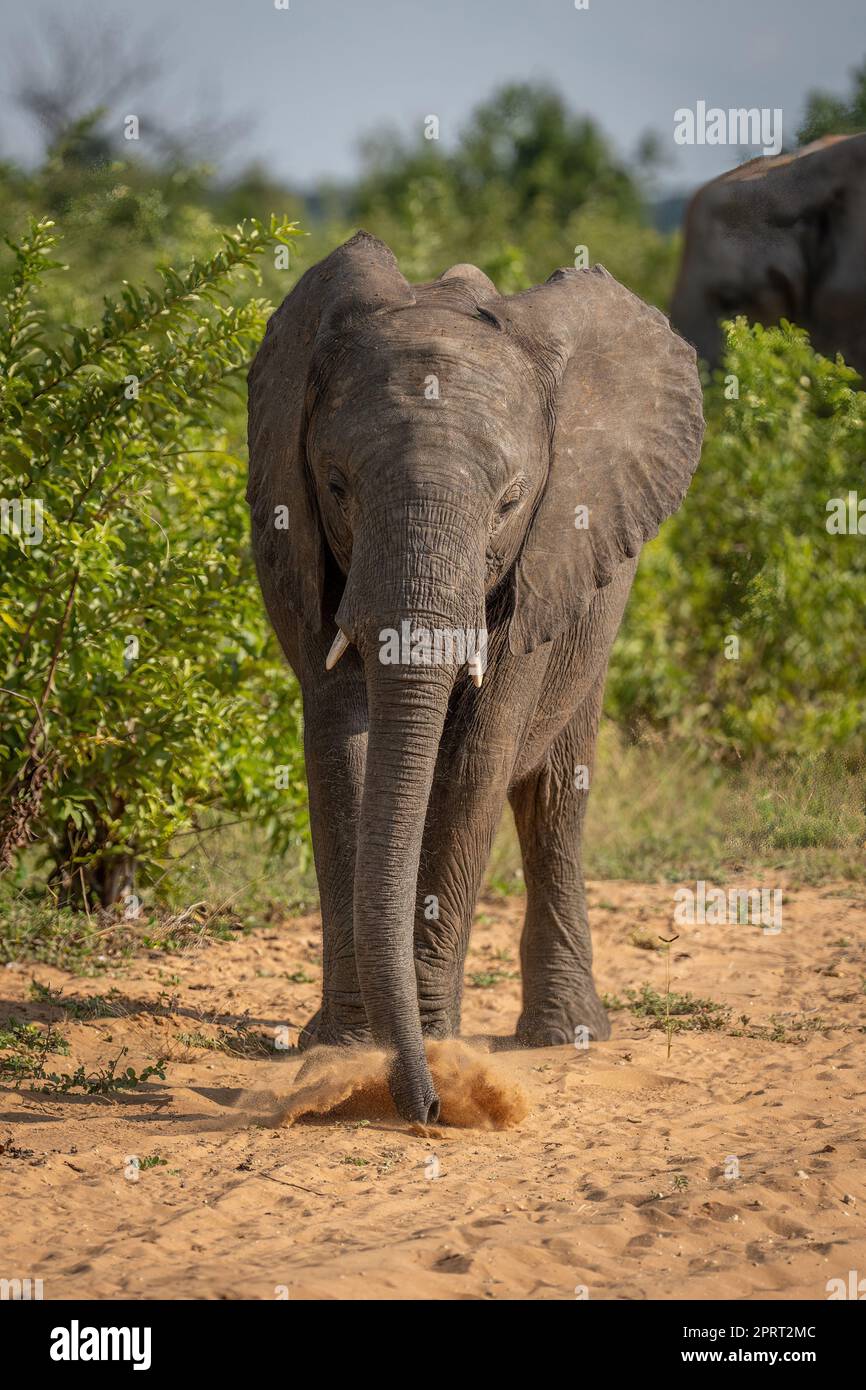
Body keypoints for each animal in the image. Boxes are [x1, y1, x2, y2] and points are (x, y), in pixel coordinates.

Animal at [247, 232, 704, 1123]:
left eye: (510, 504)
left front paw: (428, 1040)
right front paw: (346, 1046)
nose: (427, 1109)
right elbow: (341, 753)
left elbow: (471, 771)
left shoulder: (543, 564)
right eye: (337, 486)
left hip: (595, 611)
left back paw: (566, 1036)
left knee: (555, 796)